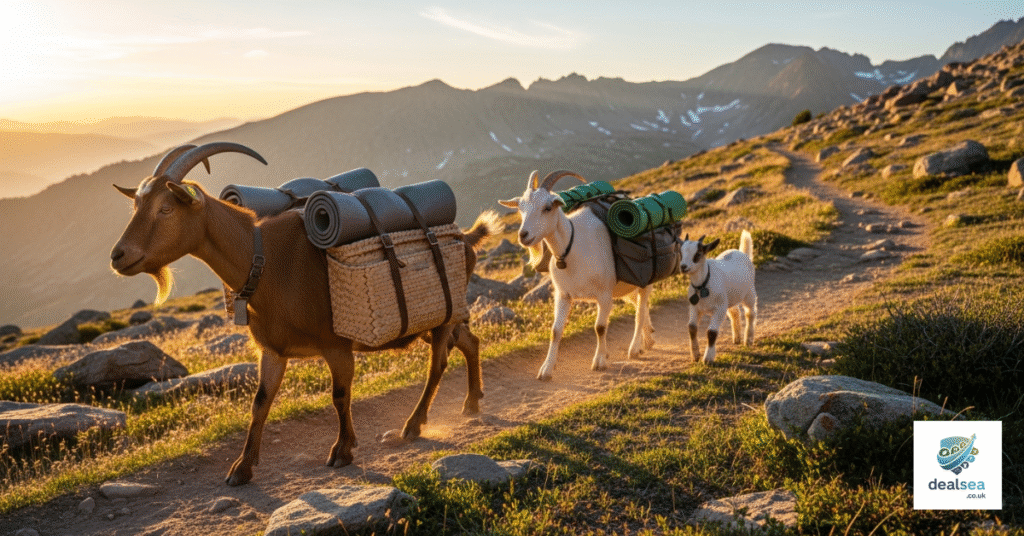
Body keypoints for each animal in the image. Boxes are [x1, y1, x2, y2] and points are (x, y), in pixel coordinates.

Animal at [110, 142, 498, 486]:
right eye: (136, 205)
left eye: (166, 208)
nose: (118, 255)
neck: (265, 262)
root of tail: (465, 239)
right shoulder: (272, 351)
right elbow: (260, 403)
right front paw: (242, 468)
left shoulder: (336, 345)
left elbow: (339, 395)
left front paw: (342, 450)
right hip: (435, 320)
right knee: (470, 341)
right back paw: (472, 402)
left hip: (442, 313)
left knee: (439, 363)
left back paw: (414, 424)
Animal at [499, 170, 655, 381]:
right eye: (520, 209)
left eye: (548, 207)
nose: (524, 235)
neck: (571, 249)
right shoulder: (563, 295)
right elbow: (555, 331)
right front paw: (546, 369)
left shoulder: (604, 295)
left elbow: (600, 327)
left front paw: (599, 361)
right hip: (625, 287)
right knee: (640, 306)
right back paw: (649, 339)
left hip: (643, 280)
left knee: (640, 310)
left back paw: (635, 347)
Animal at [679, 231, 757, 363]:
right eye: (681, 252)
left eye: (698, 254)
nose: (683, 266)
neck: (703, 285)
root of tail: (742, 252)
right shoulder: (694, 307)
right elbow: (692, 328)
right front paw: (695, 355)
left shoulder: (719, 309)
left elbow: (711, 332)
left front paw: (708, 358)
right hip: (729, 298)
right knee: (735, 312)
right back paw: (737, 338)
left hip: (749, 292)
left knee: (750, 313)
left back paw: (748, 340)